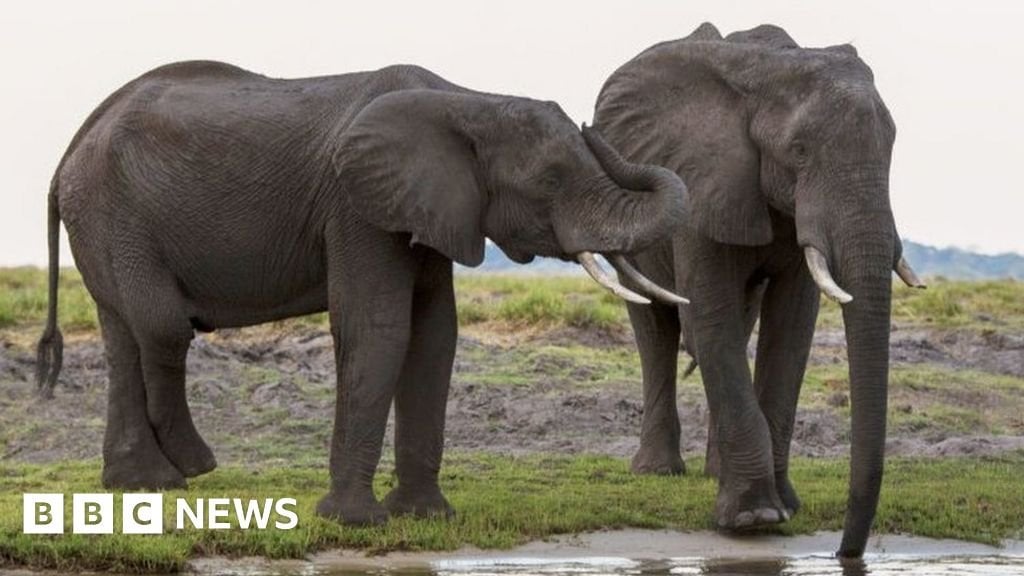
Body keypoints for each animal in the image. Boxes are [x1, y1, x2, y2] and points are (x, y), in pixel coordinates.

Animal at [34, 61, 690, 525]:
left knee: (124, 336)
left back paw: (144, 484)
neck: (467, 100)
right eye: (550, 181)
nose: (590, 123)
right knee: (161, 327)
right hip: (115, 216)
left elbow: (435, 337)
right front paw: (353, 522)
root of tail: (70, 150)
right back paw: (192, 467)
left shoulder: (426, 209)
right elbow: (377, 328)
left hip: (103, 220)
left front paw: (426, 517)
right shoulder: (356, 207)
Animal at [592, 24, 925, 557]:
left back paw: (713, 473)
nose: (843, 553)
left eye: (891, 146)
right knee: (657, 328)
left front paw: (783, 506)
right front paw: (754, 518)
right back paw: (658, 471)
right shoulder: (701, 178)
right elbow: (711, 314)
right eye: (800, 151)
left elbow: (791, 327)